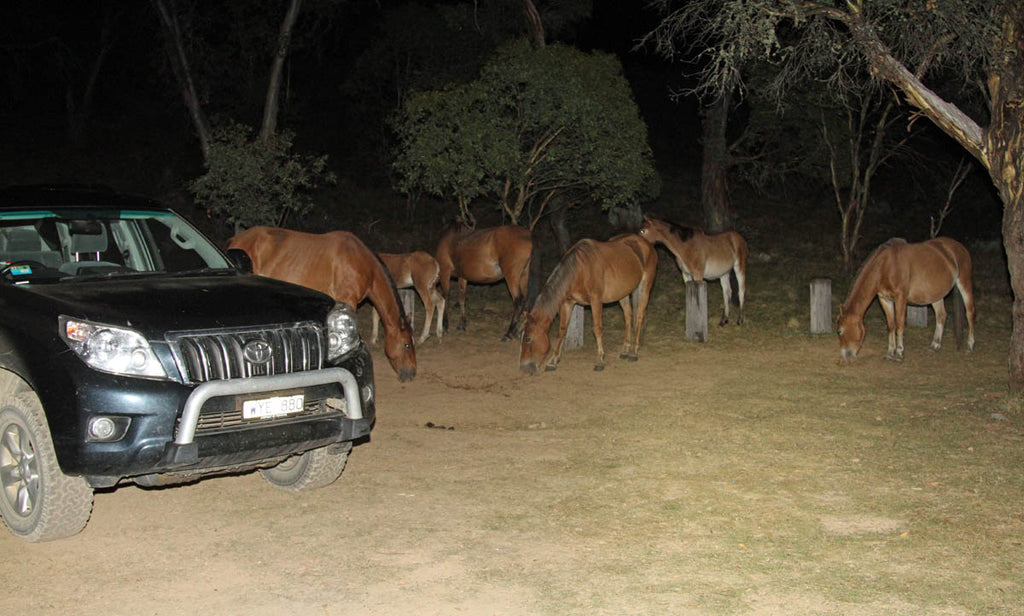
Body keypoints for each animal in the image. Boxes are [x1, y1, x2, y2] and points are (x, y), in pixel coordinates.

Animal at [520, 232, 655, 372]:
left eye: (528, 339)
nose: (524, 367)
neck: (579, 270)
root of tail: (645, 242)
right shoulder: (567, 303)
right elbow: (562, 330)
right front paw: (553, 360)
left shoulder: (596, 301)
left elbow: (597, 328)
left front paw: (600, 360)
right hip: (623, 292)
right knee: (628, 316)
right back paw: (625, 350)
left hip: (645, 286)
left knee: (639, 316)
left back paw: (634, 352)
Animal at [839, 234, 974, 360]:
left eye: (839, 331)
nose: (846, 355)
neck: (886, 265)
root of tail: (958, 247)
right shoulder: (884, 299)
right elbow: (891, 325)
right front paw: (890, 352)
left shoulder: (901, 298)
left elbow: (899, 325)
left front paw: (899, 352)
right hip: (936, 294)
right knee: (941, 315)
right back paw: (935, 345)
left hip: (964, 282)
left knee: (970, 313)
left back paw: (970, 344)